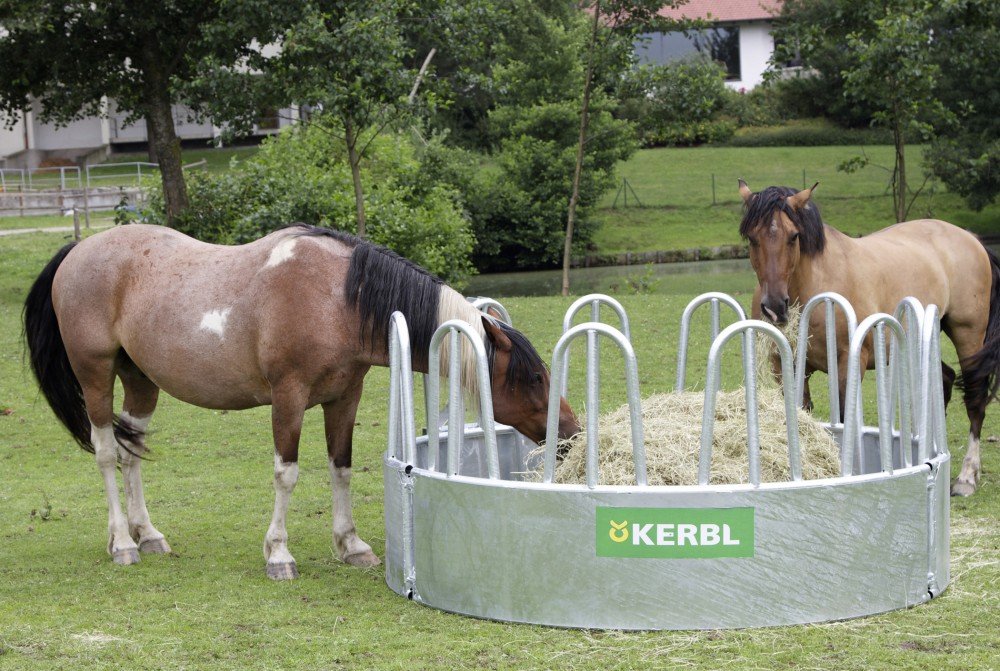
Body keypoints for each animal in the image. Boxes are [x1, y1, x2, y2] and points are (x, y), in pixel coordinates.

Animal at [23, 223, 580, 579]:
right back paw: (122, 542)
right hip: (96, 376)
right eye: (534, 376)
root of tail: (78, 251)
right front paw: (278, 555)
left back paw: (149, 535)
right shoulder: (287, 399)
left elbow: (341, 468)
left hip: (140, 382)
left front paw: (351, 545)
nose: (571, 432)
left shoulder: (344, 398)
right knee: (105, 453)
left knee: (131, 451)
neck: (337, 298)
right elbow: (286, 473)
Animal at [738, 180, 1000, 497]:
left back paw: (966, 477)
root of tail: (972, 239)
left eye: (793, 236)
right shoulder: (784, 365)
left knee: (975, 398)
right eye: (752, 238)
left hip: (968, 333)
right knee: (946, 378)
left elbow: (842, 421)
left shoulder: (848, 365)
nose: (775, 306)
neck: (816, 284)